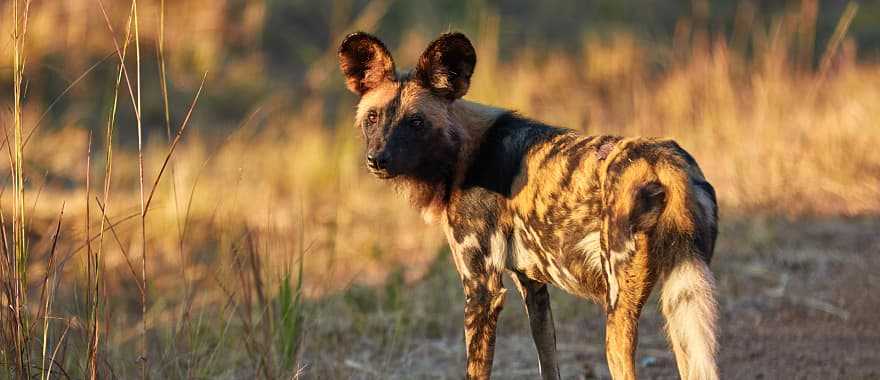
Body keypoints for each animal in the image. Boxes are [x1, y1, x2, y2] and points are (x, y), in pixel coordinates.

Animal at [340, 32, 720, 380]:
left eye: (416, 122)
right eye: (373, 118)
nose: (378, 159)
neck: (464, 154)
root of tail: (665, 161)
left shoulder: (482, 290)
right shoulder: (532, 285)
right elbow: (547, 360)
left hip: (618, 311)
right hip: (681, 297)